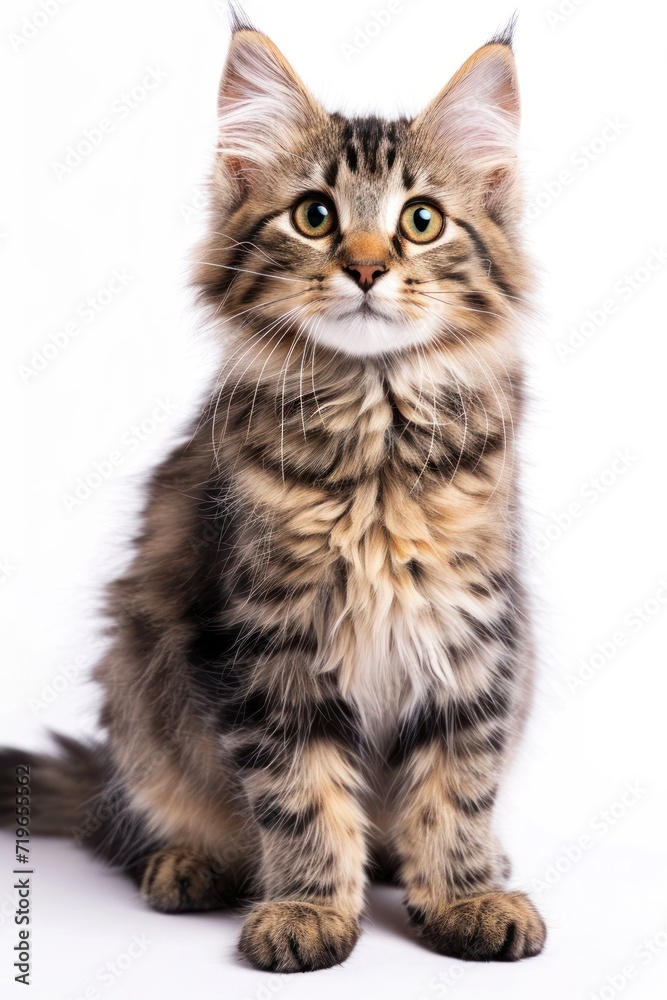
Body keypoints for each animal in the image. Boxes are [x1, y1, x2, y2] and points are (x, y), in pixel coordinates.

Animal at [1, 5, 548, 976]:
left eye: (420, 221)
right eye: (315, 215)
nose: (365, 269)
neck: (375, 445)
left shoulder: (470, 633)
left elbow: (457, 783)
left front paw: (465, 895)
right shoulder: (263, 645)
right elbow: (301, 795)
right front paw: (306, 909)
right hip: (136, 683)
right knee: (143, 820)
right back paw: (191, 863)